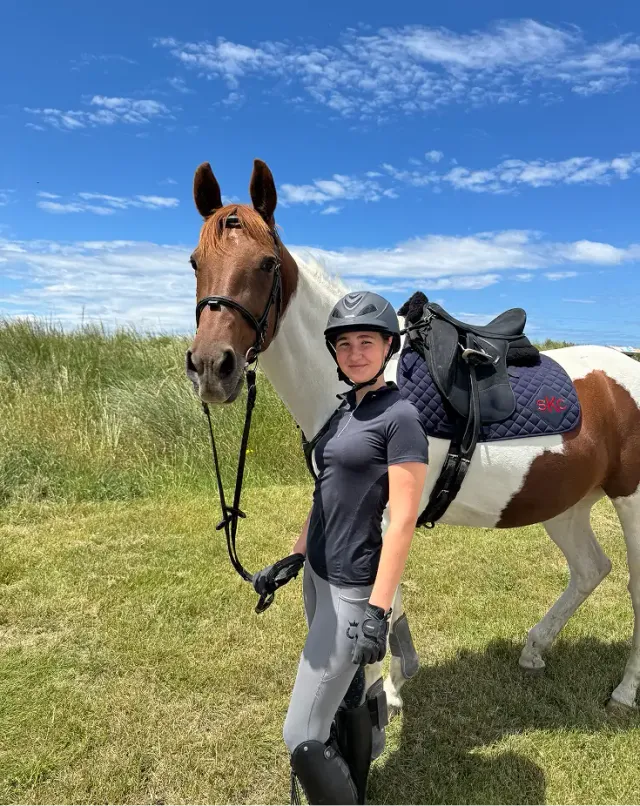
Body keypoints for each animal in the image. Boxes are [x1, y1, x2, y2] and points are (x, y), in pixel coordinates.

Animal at [185, 158, 640, 717]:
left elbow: (377, 599)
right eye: (195, 262)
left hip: (630, 501)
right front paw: (393, 685)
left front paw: (381, 694)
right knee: (590, 568)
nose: (212, 367)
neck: (359, 388)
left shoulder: (384, 514)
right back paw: (535, 649)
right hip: (565, 501)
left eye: (268, 263)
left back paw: (624, 691)